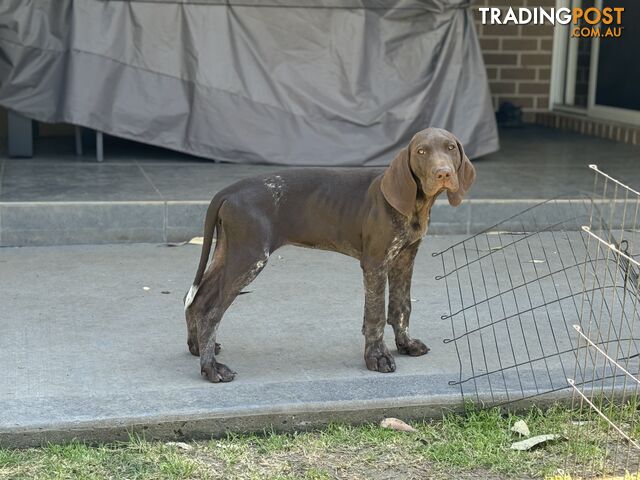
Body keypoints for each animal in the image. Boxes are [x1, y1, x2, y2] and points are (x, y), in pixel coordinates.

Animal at [185, 127, 476, 382]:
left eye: (450, 148)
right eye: (421, 151)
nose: (443, 173)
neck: (415, 204)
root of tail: (229, 191)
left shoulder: (404, 259)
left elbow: (401, 307)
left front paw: (405, 343)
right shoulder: (375, 263)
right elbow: (376, 315)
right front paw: (377, 357)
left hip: (230, 253)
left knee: (197, 301)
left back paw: (197, 348)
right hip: (250, 258)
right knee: (211, 313)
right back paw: (211, 369)